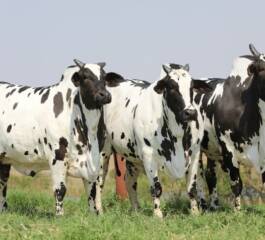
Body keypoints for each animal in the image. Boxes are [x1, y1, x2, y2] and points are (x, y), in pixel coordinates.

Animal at [0, 58, 110, 216]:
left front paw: (93, 215)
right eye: (85, 77)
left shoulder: (92, 161)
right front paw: (59, 215)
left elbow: (92, 191)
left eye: (105, 77)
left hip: (5, 158)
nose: (104, 95)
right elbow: (60, 190)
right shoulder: (58, 155)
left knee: (3, 183)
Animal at [91, 63, 210, 218]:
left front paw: (195, 212)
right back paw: (99, 210)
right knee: (99, 180)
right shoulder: (148, 155)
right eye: (171, 86)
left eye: (191, 87)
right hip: (103, 150)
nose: (190, 113)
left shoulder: (194, 154)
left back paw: (136, 210)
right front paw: (158, 214)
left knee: (129, 181)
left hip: (133, 156)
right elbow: (156, 188)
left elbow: (192, 187)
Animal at [191, 44, 264, 211]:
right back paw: (203, 206)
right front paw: (237, 211)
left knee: (211, 175)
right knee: (199, 177)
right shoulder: (228, 149)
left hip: (211, 150)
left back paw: (214, 206)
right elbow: (236, 184)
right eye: (262, 67)